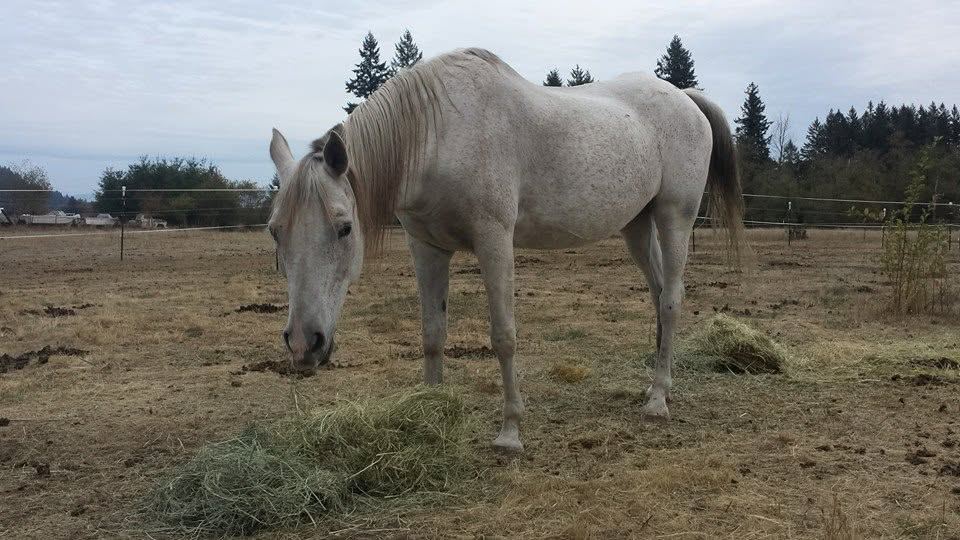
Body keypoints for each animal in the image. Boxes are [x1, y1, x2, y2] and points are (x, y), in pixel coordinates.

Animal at [267, 48, 744, 452]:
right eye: (275, 233)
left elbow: (504, 336)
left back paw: (658, 400)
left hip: (674, 217)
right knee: (659, 294)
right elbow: (432, 333)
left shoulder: (494, 240)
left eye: (345, 228)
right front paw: (431, 410)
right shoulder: (426, 247)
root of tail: (684, 97)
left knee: (672, 300)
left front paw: (510, 432)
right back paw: (656, 386)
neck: (438, 134)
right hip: (636, 226)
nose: (303, 345)